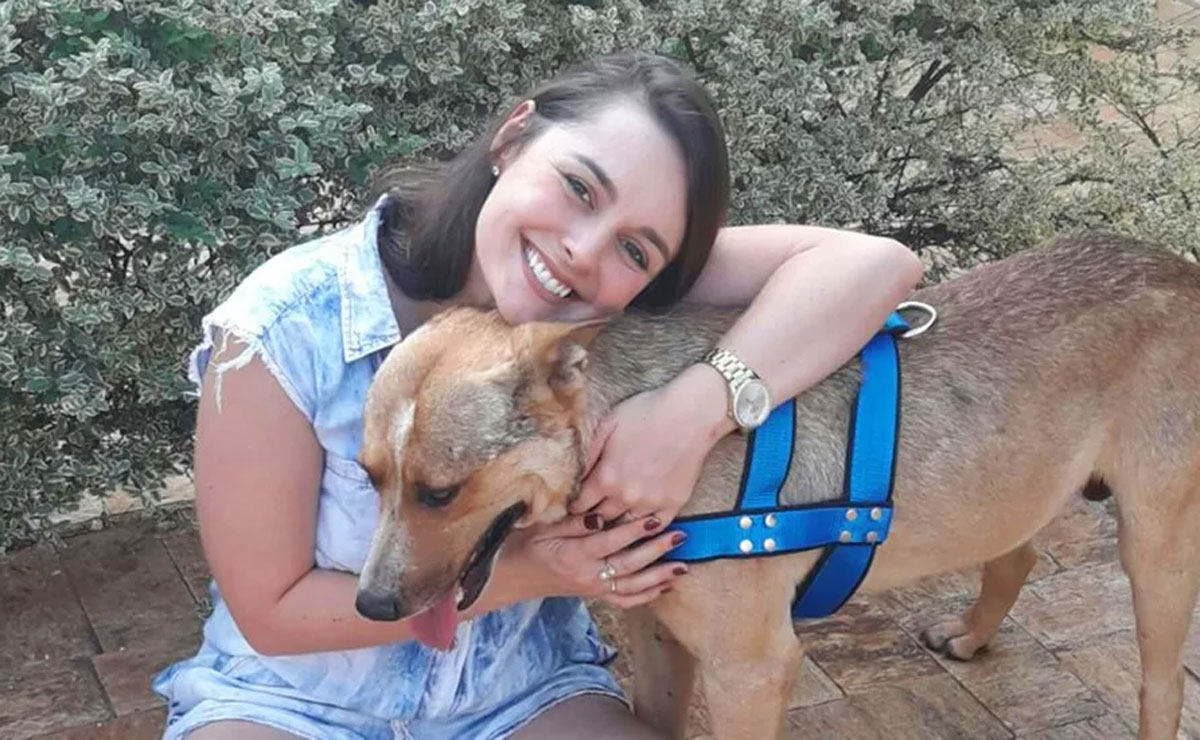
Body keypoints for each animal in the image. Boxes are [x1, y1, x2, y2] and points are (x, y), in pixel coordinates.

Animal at [354, 232, 1200, 739]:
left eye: (440, 491)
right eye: (371, 478)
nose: (370, 608)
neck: (620, 420)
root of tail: (1179, 267)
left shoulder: (752, 667)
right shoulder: (659, 635)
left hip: (1156, 546)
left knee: (1162, 685)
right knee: (1017, 551)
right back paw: (969, 634)